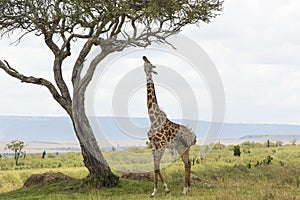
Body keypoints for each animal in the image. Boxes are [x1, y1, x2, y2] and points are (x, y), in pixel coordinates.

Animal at [143, 55, 197, 197]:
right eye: (145, 63)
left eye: (150, 63)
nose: (144, 57)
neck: (152, 118)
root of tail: (193, 135)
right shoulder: (154, 145)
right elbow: (155, 167)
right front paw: (156, 191)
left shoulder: (162, 145)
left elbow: (157, 166)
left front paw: (164, 189)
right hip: (179, 147)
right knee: (187, 163)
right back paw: (188, 188)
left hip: (185, 147)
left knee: (187, 163)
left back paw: (185, 190)